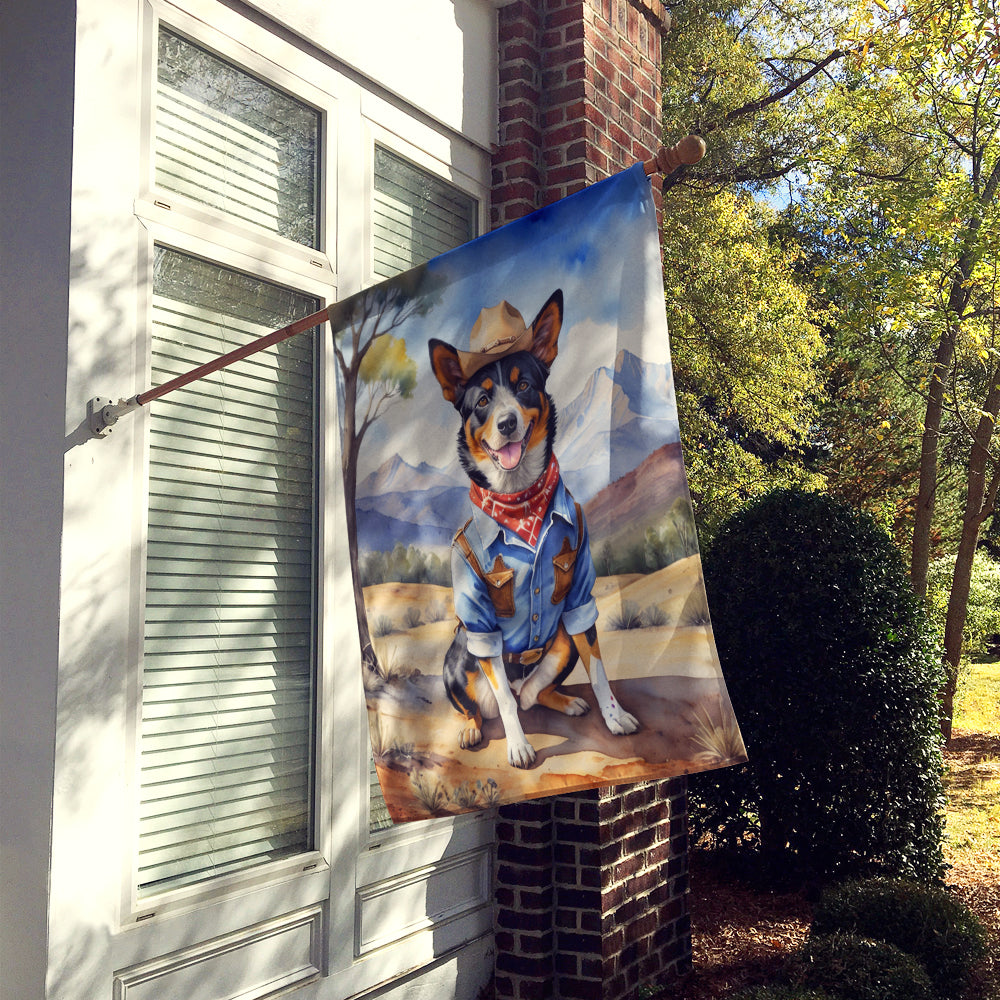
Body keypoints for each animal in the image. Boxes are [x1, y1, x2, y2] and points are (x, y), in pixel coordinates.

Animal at [426, 286, 636, 768]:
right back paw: (472, 728)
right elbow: (503, 700)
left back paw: (567, 702)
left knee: (533, 694)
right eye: (482, 402)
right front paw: (519, 746)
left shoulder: (579, 597)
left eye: (524, 386)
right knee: (489, 703)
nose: (507, 423)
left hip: (560, 644)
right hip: (455, 661)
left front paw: (614, 717)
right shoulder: (482, 624)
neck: (520, 500)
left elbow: (599, 670)